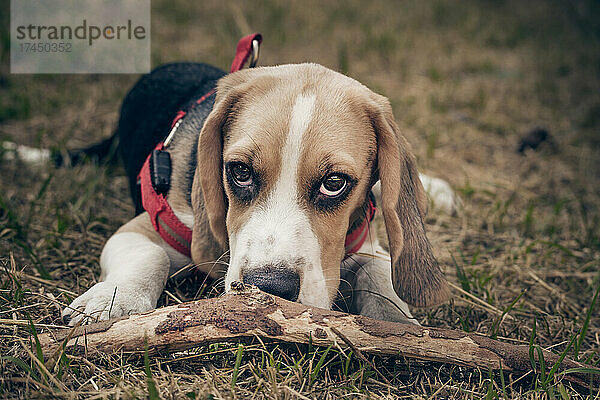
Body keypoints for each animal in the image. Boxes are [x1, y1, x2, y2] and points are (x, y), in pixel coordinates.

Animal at [55, 61, 454, 324]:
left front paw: (398, 322)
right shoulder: (147, 225)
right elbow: (149, 255)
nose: (269, 287)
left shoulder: (365, 242)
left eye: (334, 182)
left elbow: (381, 274)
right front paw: (110, 300)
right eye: (241, 172)